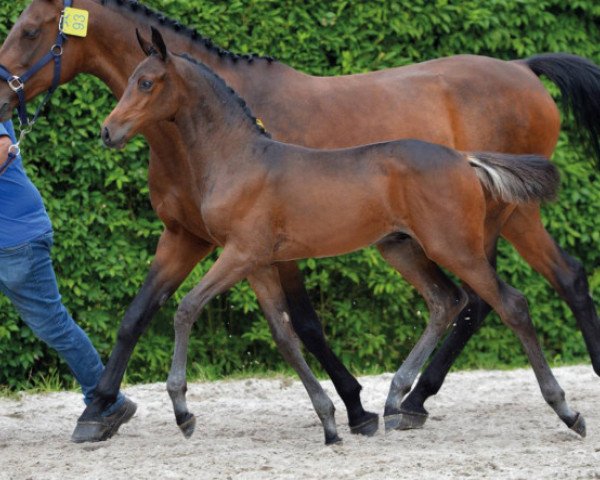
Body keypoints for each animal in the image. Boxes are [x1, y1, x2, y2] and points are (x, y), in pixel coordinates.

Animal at [0, 0, 596, 442]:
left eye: (28, 30)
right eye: (129, 81)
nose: (108, 131)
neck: (237, 152)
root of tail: (521, 68)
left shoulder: (242, 252)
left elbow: (229, 315)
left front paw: (348, 410)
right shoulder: (203, 242)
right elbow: (155, 316)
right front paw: (97, 411)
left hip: (487, 227)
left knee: (513, 299)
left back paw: (556, 409)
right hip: (406, 245)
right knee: (462, 299)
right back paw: (405, 398)